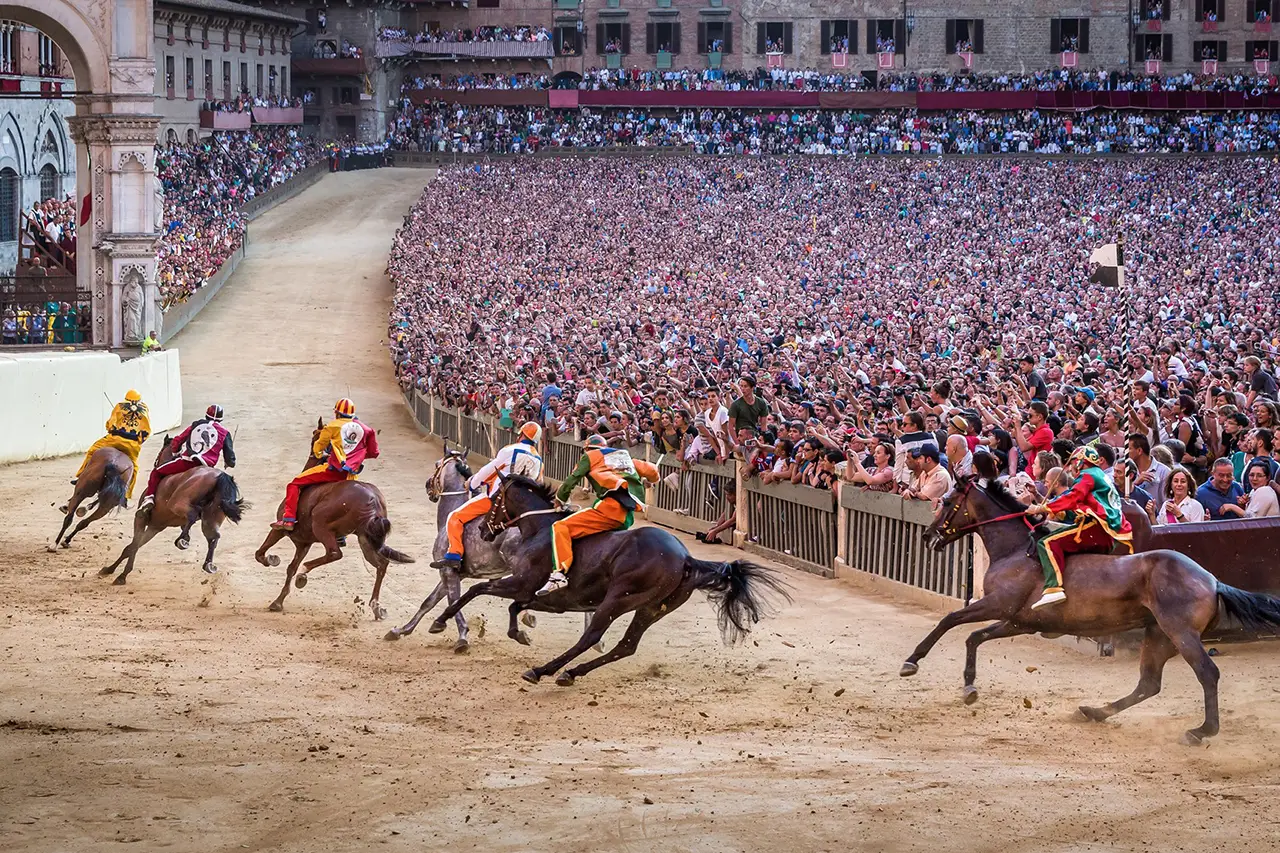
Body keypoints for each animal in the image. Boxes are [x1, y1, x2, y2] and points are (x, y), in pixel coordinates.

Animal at [99, 435, 247, 581]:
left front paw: (119, 574)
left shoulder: (142, 519)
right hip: (210, 519)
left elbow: (132, 547)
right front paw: (112, 570)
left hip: (177, 504)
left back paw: (183, 540)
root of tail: (220, 476)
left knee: (193, 515)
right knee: (214, 536)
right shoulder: (156, 526)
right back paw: (208, 564)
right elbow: (134, 546)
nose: (156, 462)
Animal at [257, 417, 417, 617]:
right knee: (381, 564)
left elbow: (261, 553)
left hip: (321, 526)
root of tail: (372, 499)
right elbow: (290, 568)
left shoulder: (281, 531)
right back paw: (376, 606)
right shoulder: (304, 543)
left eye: (315, 435)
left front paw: (272, 560)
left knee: (334, 553)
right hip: (365, 539)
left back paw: (304, 573)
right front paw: (278, 601)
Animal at [430, 473, 788, 686]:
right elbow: (515, 607)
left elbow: (478, 590)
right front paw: (518, 633)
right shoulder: (544, 597)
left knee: (590, 638)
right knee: (625, 645)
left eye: (494, 500)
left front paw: (441, 621)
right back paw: (570, 673)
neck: (539, 529)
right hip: (651, 608)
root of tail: (686, 558)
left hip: (618, 598)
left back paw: (543, 670)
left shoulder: (522, 583)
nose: (482, 530)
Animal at [901, 450, 1280, 742]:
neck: (1015, 549)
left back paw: (1201, 731)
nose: (928, 536)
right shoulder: (1018, 621)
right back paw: (1094, 711)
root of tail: (1211, 581)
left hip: (1180, 633)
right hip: (1158, 634)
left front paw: (912, 662)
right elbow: (974, 638)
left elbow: (950, 619)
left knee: (1207, 673)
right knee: (1148, 684)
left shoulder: (999, 605)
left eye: (947, 501)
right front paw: (968, 687)